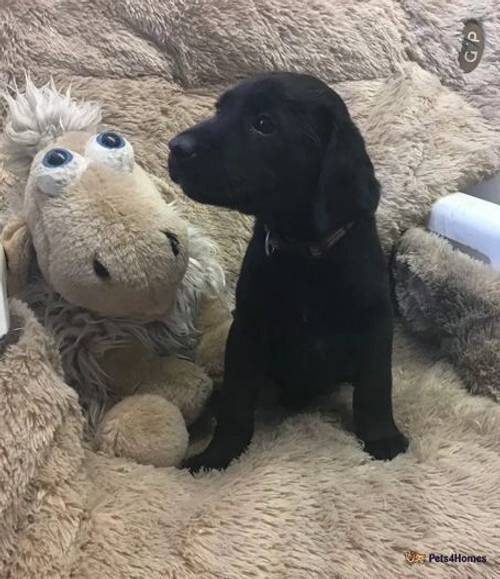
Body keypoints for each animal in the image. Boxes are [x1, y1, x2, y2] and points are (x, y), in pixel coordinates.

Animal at [170, 72, 408, 472]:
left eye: (264, 124)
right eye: (219, 109)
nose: (175, 147)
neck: (305, 252)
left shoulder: (375, 321)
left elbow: (376, 385)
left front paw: (382, 438)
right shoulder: (247, 329)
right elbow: (236, 399)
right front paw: (219, 455)